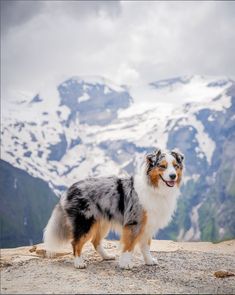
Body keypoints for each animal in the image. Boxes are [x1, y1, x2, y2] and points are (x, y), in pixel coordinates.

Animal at [43, 149, 184, 270]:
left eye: (175, 166)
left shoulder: (147, 225)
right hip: (85, 222)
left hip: (102, 222)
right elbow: (129, 246)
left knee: (95, 241)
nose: (173, 176)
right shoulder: (134, 223)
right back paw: (79, 263)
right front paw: (125, 264)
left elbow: (146, 246)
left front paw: (149, 261)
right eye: (162, 166)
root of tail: (69, 189)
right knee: (76, 242)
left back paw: (107, 256)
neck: (155, 188)